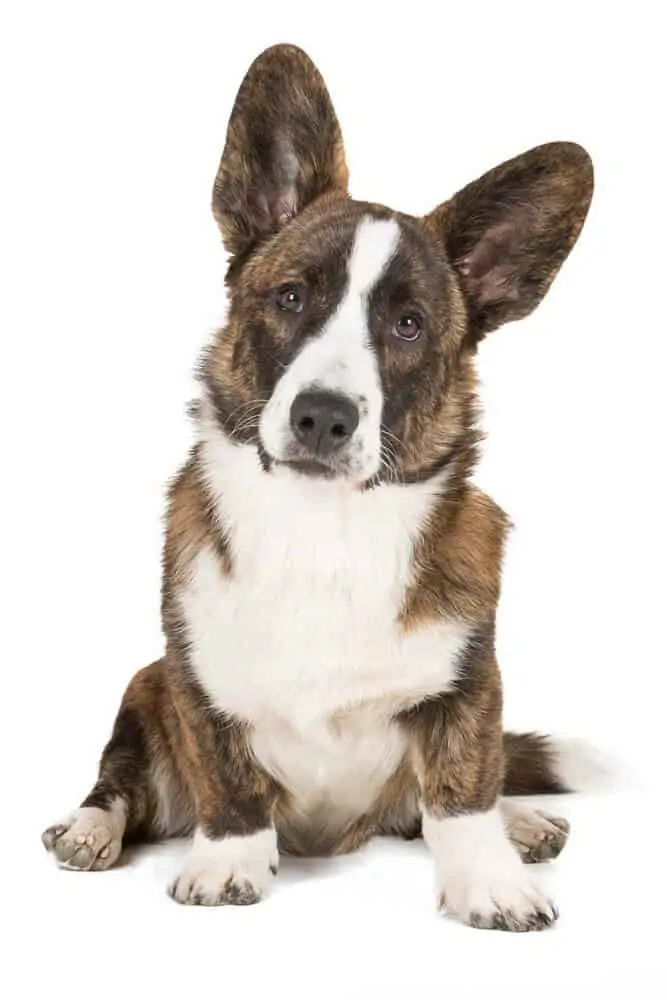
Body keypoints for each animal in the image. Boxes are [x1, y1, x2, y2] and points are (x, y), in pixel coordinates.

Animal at [41, 39, 596, 928]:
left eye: (407, 325)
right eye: (291, 296)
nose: (323, 418)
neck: (324, 529)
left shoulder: (468, 681)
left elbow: (463, 789)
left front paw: (489, 878)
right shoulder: (190, 675)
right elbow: (226, 778)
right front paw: (228, 861)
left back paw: (521, 821)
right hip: (142, 687)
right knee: (122, 784)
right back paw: (90, 829)